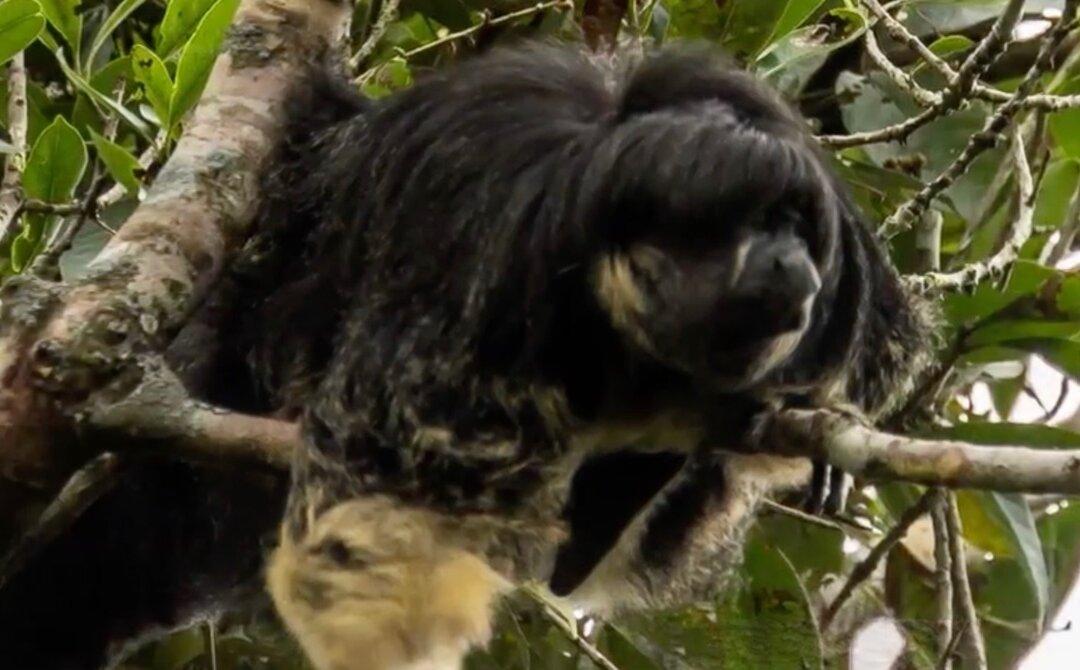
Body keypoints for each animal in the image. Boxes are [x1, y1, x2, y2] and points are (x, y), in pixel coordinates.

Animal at [245, 42, 933, 670]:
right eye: (759, 225)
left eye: (794, 227)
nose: (792, 259)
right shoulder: (481, 295)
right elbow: (367, 493)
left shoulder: (842, 275)